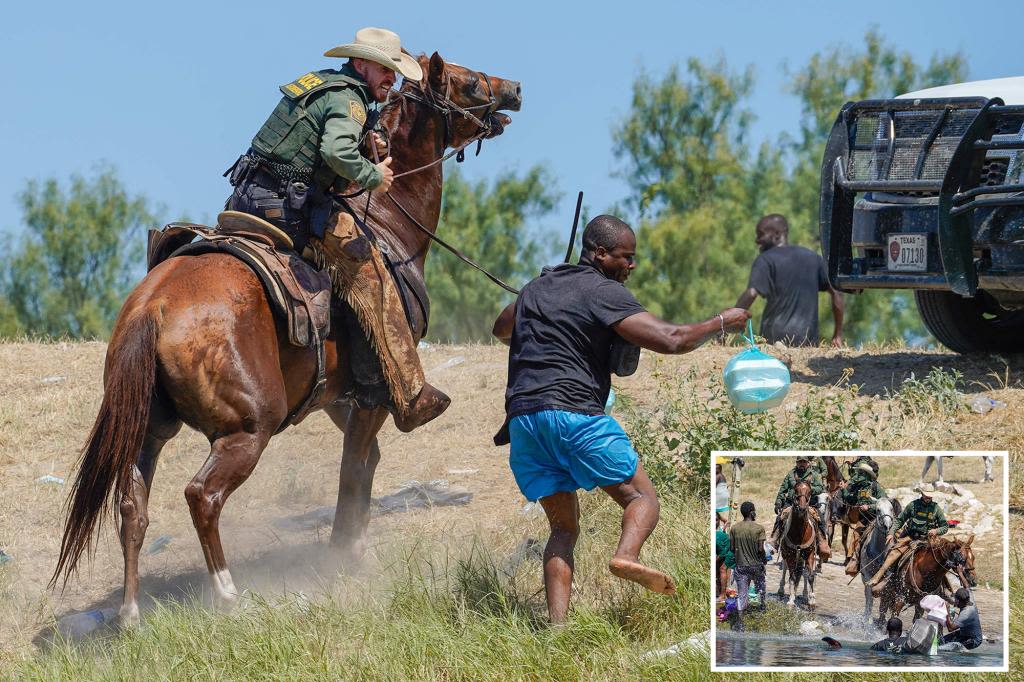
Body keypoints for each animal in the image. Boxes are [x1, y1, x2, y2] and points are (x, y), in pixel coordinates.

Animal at [778, 477, 819, 606]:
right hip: (787, 555)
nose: (802, 508)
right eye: (795, 489)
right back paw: (782, 590)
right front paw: (791, 600)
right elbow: (792, 577)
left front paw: (812, 600)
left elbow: (810, 576)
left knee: (804, 573)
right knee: (786, 568)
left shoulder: (810, 554)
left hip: (802, 557)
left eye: (810, 491)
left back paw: (805, 595)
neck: (800, 533)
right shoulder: (790, 555)